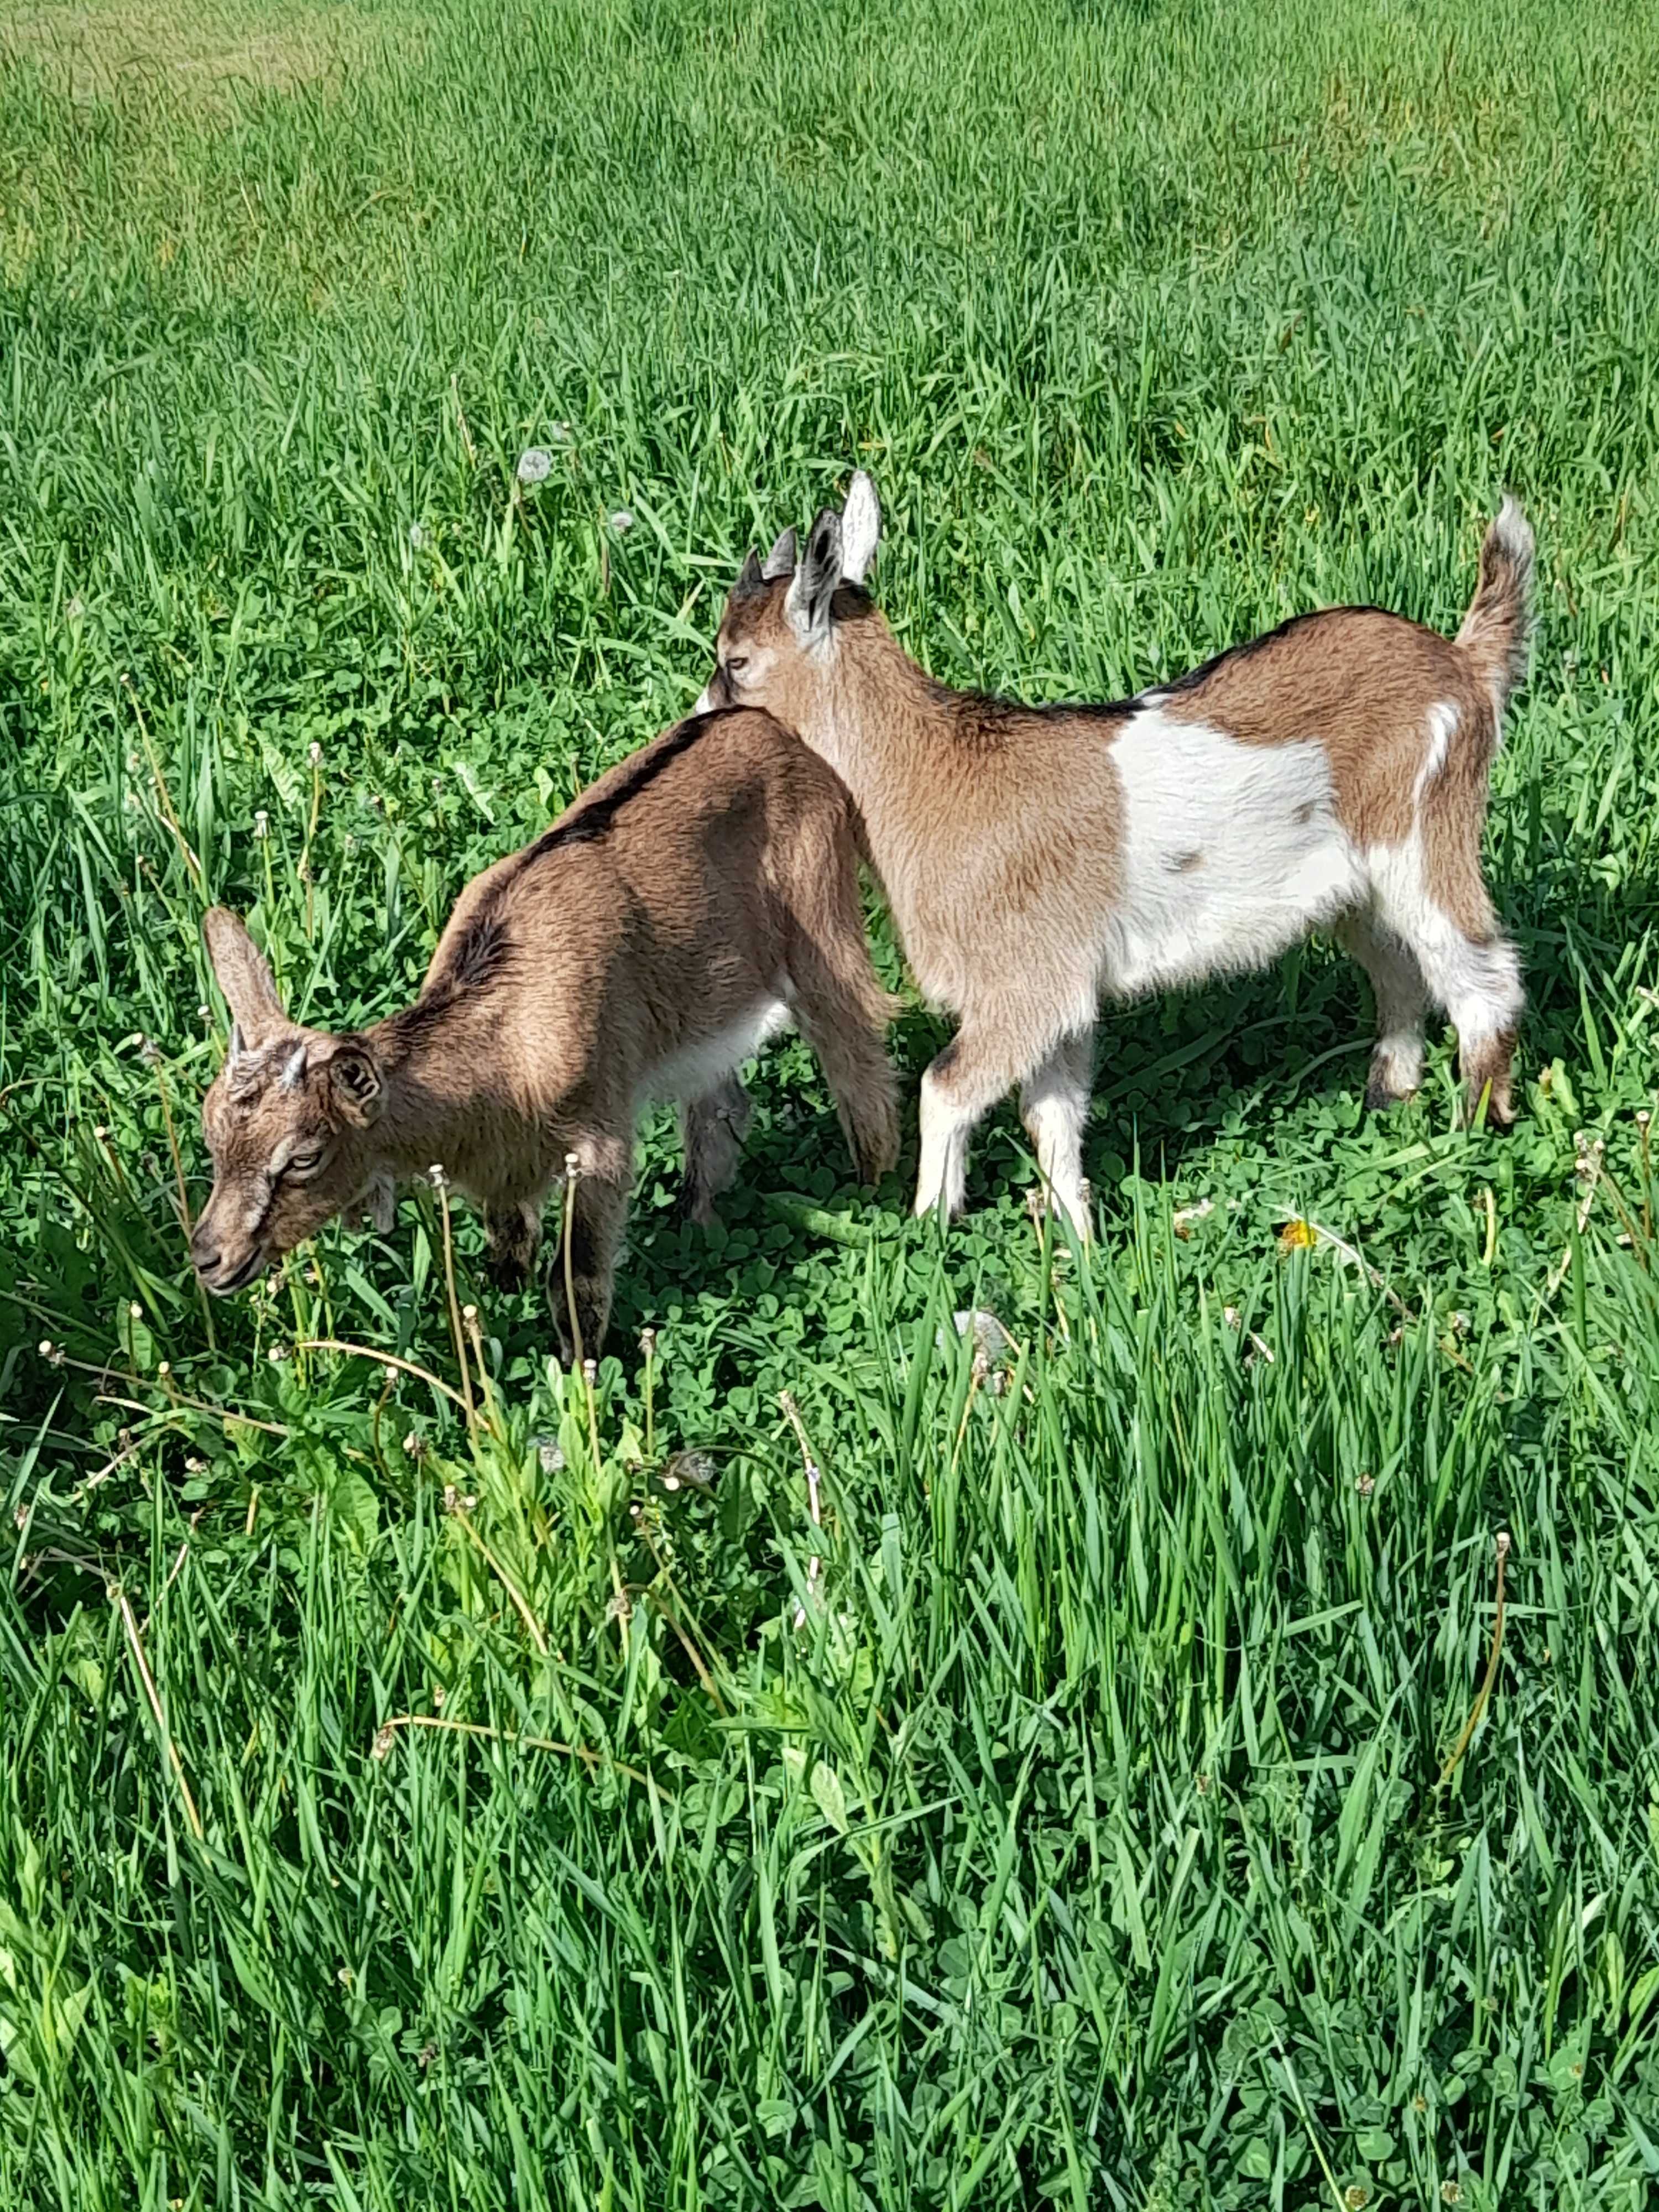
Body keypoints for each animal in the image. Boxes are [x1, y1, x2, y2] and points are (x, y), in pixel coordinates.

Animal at [191, 717, 911, 1354]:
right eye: (212, 1136)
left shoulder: (598, 1145)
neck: (507, 1040)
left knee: (861, 1060)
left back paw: (875, 1189)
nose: (208, 1257)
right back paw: (698, 1218)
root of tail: (769, 725)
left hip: (821, 926)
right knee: (722, 1107)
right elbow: (510, 1240)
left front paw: (580, 1374)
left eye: (303, 1156)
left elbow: (577, 1283)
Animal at [699, 473, 1531, 1239]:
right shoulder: (1064, 989)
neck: (932, 774)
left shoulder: (1022, 982)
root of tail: (1463, 665)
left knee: (1482, 973)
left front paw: (932, 1225)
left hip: (1424, 832)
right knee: (1400, 969)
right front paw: (1077, 1241)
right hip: (1357, 887)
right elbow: (1054, 1113)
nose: (700, 722)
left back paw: (1472, 1134)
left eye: (735, 662)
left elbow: (946, 1086)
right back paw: (1387, 1099)